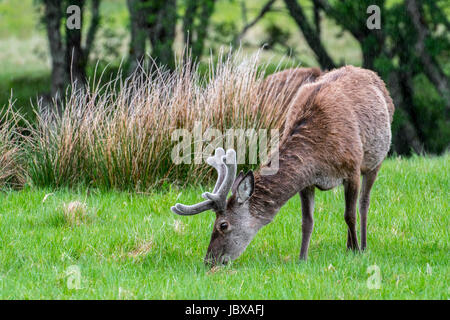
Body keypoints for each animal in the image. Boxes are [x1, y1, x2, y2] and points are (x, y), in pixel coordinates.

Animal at [171, 65, 394, 264]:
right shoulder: (307, 182)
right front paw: (302, 259)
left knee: (363, 204)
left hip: (376, 161)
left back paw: (361, 245)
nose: (209, 260)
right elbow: (307, 221)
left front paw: (355, 251)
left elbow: (349, 215)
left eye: (223, 225)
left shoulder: (352, 169)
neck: (319, 155)